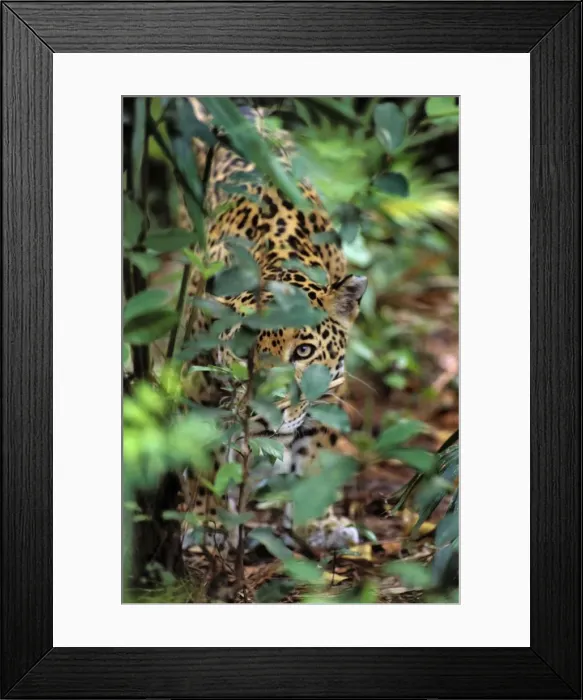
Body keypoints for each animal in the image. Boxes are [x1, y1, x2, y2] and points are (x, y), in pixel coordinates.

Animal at [177, 99, 368, 554]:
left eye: (303, 352)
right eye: (242, 352)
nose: (269, 412)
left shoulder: (328, 391)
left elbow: (314, 456)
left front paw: (318, 523)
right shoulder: (200, 388)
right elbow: (206, 462)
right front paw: (208, 524)